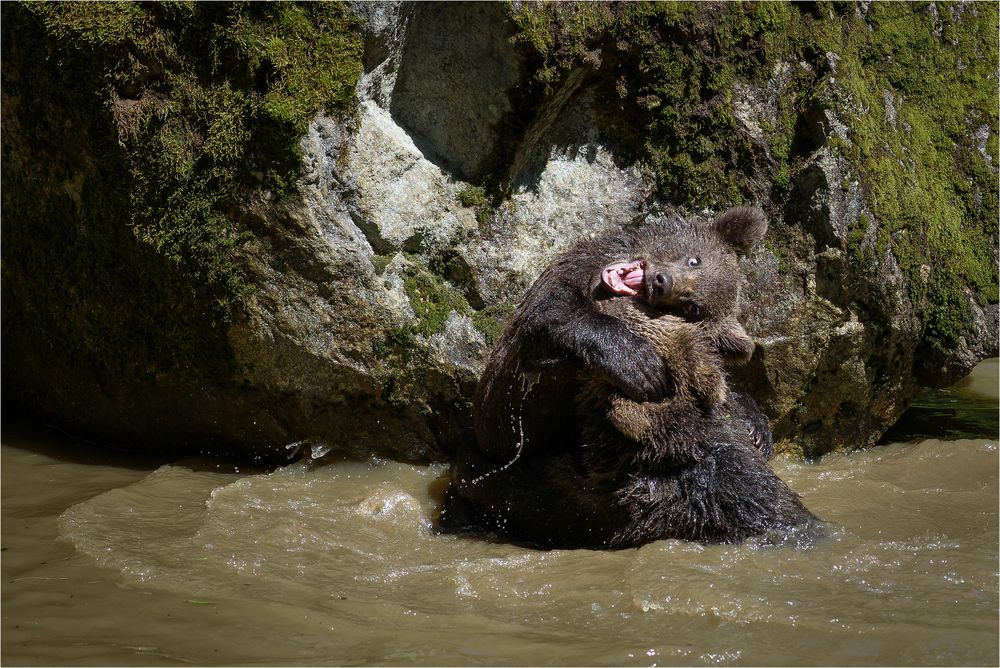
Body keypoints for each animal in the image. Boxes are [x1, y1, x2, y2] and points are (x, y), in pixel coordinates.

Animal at [442, 207, 816, 548]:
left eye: (691, 307)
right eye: (693, 259)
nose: (662, 283)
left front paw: (754, 426)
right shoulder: (570, 275)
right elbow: (552, 313)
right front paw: (640, 366)